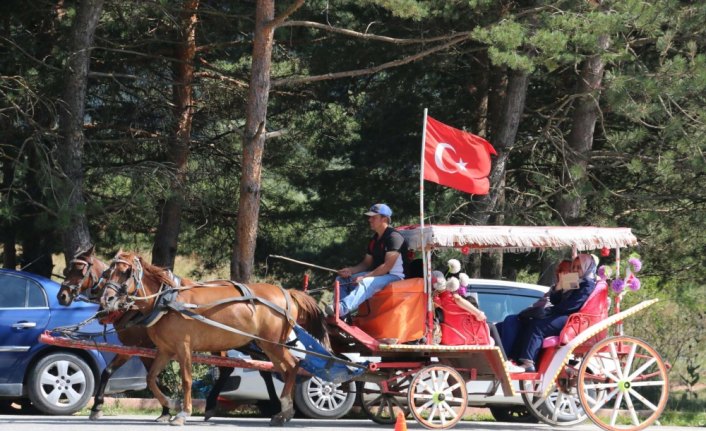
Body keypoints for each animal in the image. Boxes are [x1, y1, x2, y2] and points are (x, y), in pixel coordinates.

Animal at [57, 246, 274, 422]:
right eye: (67, 270)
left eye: (80, 271)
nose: (62, 296)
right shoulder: (150, 348)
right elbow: (141, 375)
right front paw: (166, 409)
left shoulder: (137, 346)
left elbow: (111, 371)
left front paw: (166, 409)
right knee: (236, 368)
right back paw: (215, 406)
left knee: (262, 366)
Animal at [99, 251, 328, 426]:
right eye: (109, 272)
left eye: (125, 272)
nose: (106, 299)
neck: (166, 301)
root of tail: (287, 292)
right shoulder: (165, 350)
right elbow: (150, 378)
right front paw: (171, 405)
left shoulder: (183, 347)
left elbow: (186, 379)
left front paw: (183, 413)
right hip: (270, 346)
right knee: (286, 369)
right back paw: (282, 411)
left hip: (274, 344)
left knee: (293, 366)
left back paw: (284, 410)